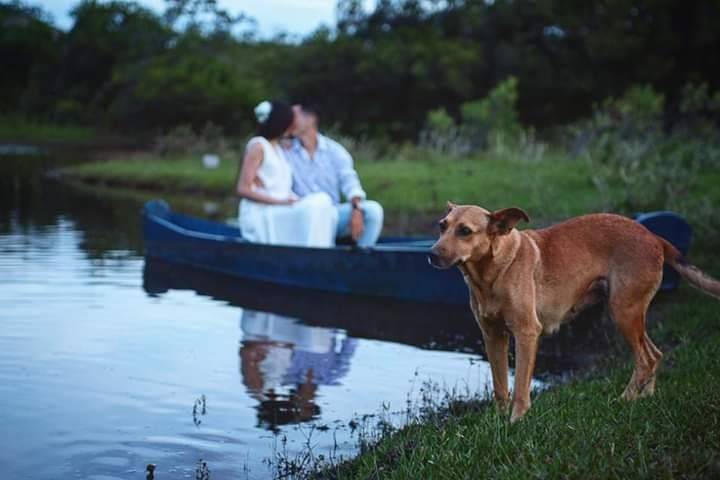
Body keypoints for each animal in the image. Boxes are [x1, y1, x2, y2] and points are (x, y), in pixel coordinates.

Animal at [430, 204, 716, 422]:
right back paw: (644, 398)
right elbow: (500, 386)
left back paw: (623, 401)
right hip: (631, 314)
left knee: (646, 359)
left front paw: (516, 421)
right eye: (442, 226)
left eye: (465, 231)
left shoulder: (526, 333)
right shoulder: (493, 336)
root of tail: (653, 236)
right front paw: (499, 422)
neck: (491, 273)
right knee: (654, 355)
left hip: (623, 312)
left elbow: (520, 386)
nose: (430, 255)